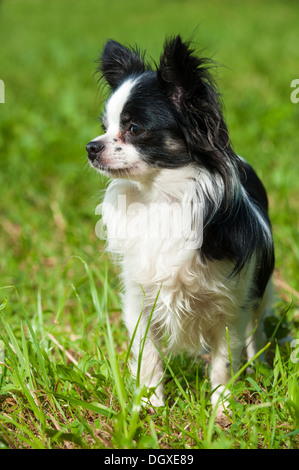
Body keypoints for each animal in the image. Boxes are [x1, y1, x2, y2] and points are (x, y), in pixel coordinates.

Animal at [85, 35, 276, 414]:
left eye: (134, 129)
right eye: (104, 128)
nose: (90, 147)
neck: (161, 198)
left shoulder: (231, 305)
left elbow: (224, 360)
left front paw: (221, 409)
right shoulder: (141, 300)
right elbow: (147, 358)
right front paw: (150, 405)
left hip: (259, 291)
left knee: (256, 329)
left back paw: (257, 364)